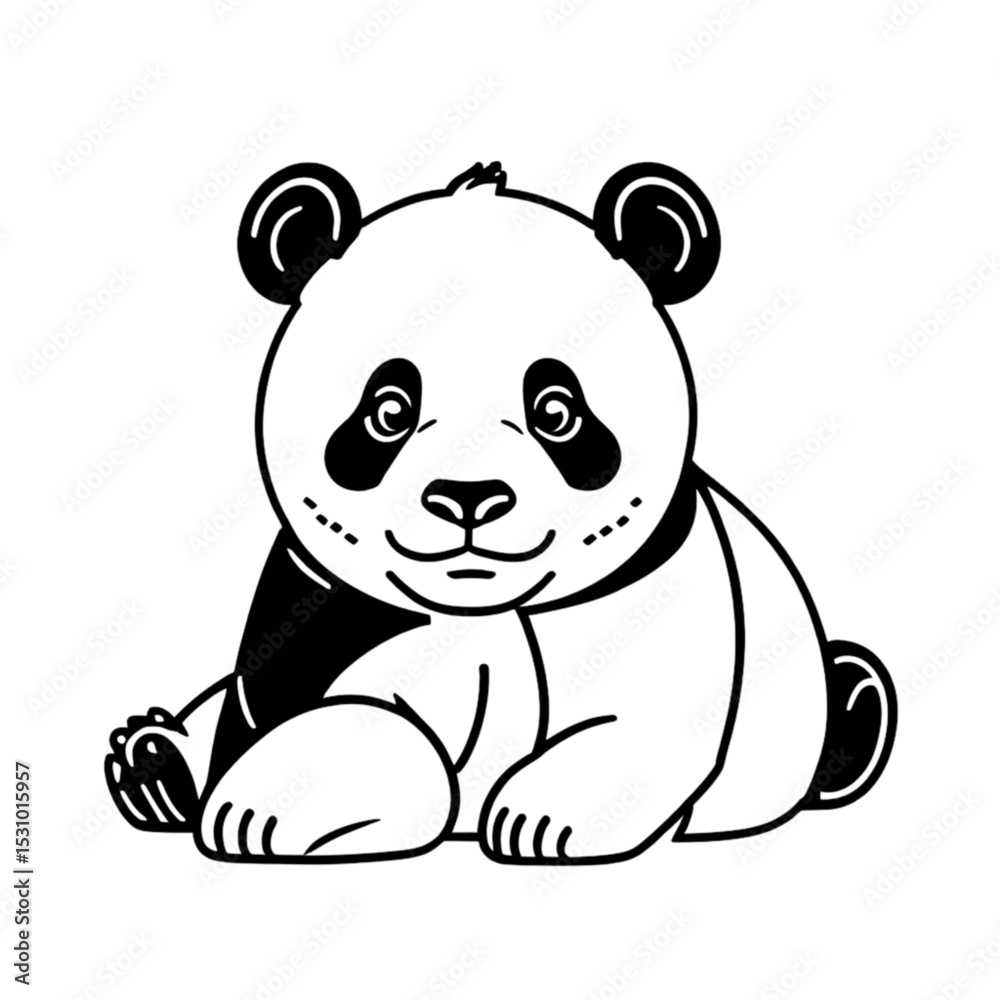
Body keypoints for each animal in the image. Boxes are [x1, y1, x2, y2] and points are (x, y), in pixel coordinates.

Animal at [105, 159, 896, 865]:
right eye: (388, 410)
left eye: (556, 410)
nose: (469, 497)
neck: (481, 604)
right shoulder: (329, 611)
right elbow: (348, 716)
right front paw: (266, 808)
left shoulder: (666, 573)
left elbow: (643, 717)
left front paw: (540, 819)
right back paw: (156, 764)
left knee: (852, 701)